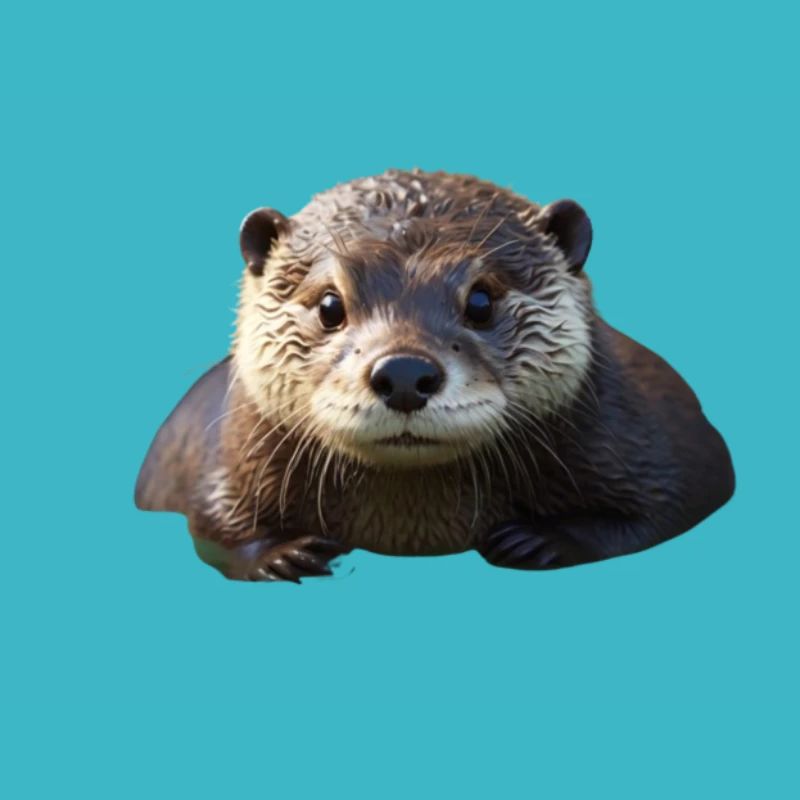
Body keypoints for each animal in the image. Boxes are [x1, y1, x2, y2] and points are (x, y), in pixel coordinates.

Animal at [135, 169, 735, 581]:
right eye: (330, 305)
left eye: (482, 300)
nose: (403, 372)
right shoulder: (228, 458)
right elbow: (211, 527)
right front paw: (283, 554)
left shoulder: (651, 437)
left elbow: (675, 504)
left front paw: (541, 541)